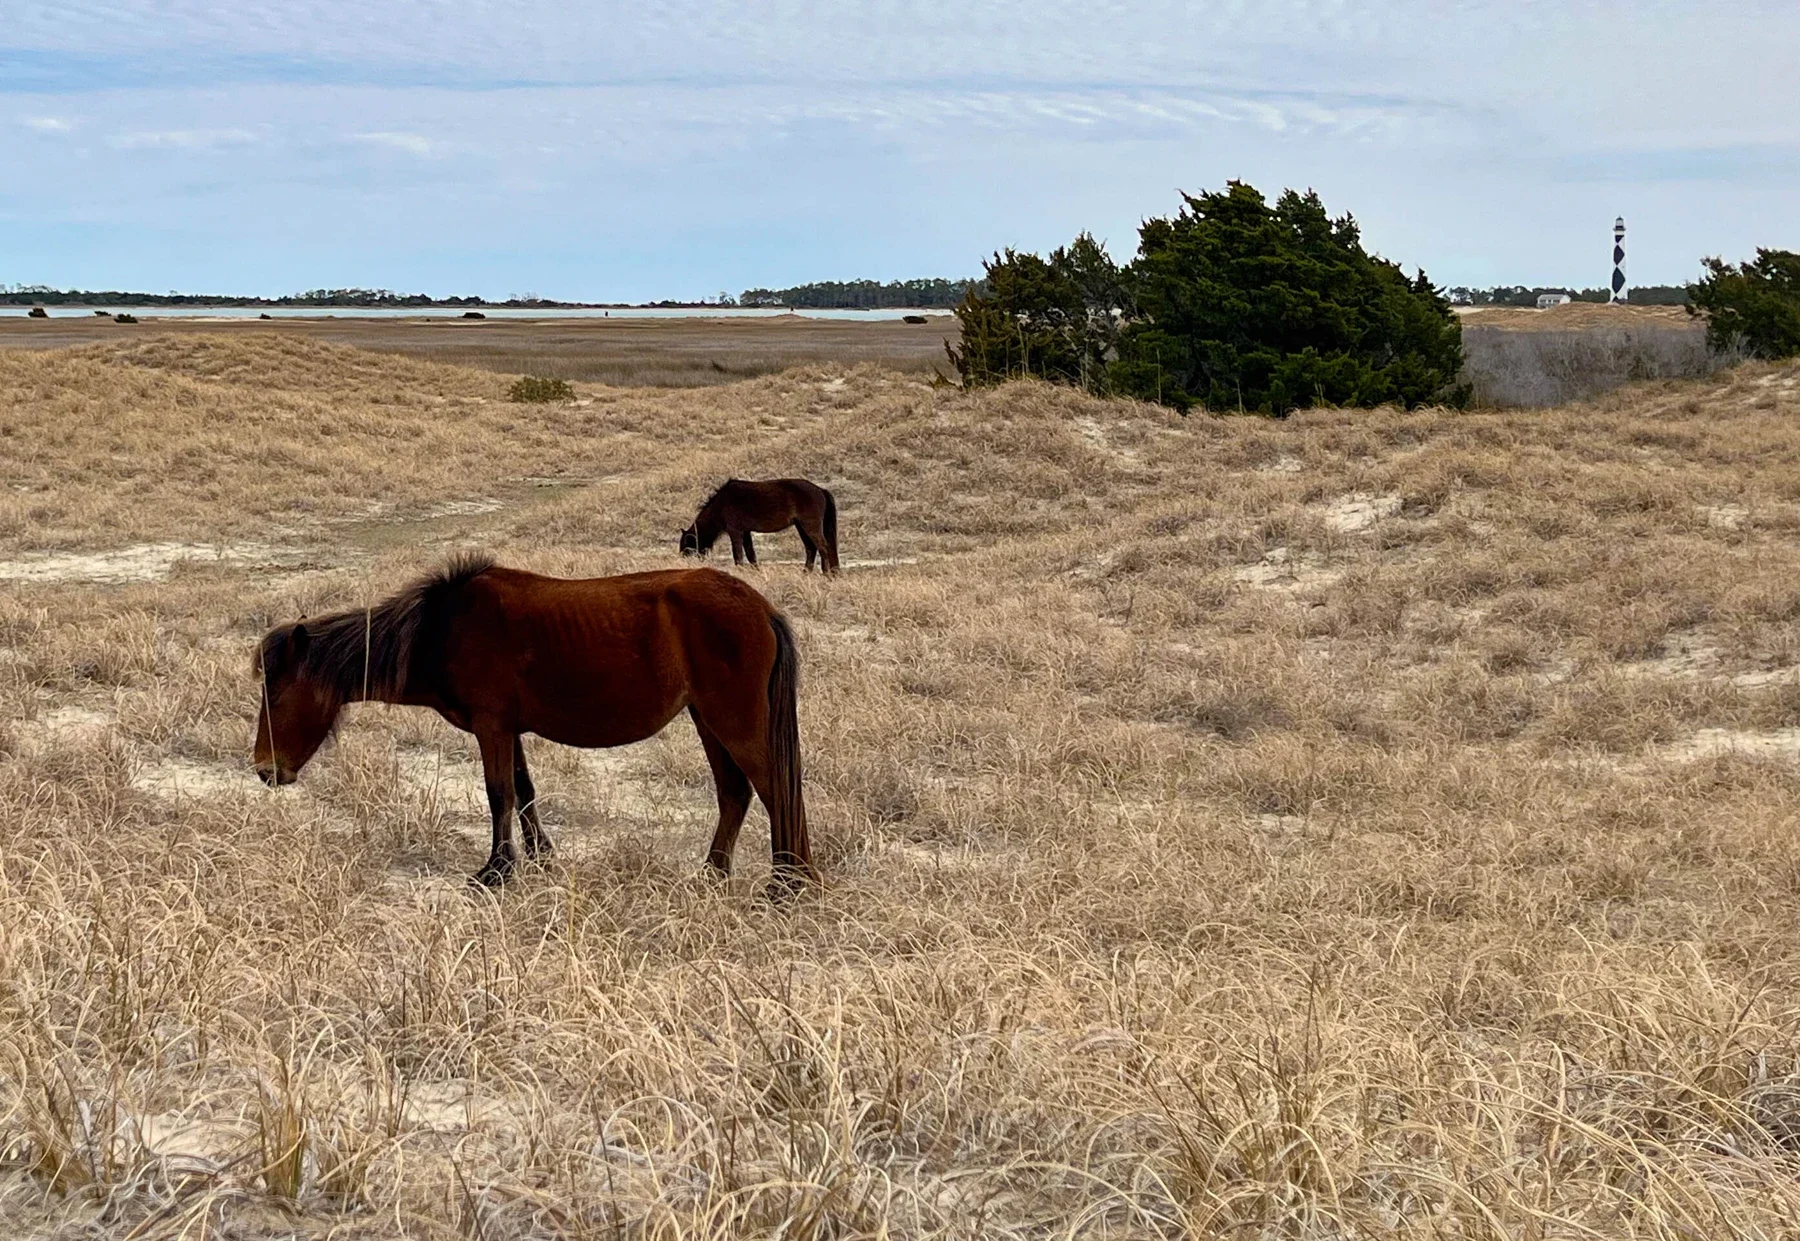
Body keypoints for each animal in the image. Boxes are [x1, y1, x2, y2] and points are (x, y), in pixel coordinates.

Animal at [252, 554, 817, 898]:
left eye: (274, 693)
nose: (264, 769)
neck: (442, 629)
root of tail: (761, 608)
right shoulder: (510, 729)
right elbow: (523, 790)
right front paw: (540, 859)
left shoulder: (491, 727)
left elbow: (498, 792)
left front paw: (496, 870)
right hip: (708, 721)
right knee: (735, 794)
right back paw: (714, 875)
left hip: (733, 722)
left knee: (775, 790)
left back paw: (788, 883)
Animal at [679, 478, 839, 574]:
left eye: (687, 544)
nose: (682, 560)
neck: (721, 503)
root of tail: (820, 490)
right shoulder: (745, 532)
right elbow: (751, 554)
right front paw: (756, 572)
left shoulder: (735, 531)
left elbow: (738, 554)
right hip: (801, 526)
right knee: (811, 548)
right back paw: (806, 573)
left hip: (810, 526)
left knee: (823, 548)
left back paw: (825, 574)